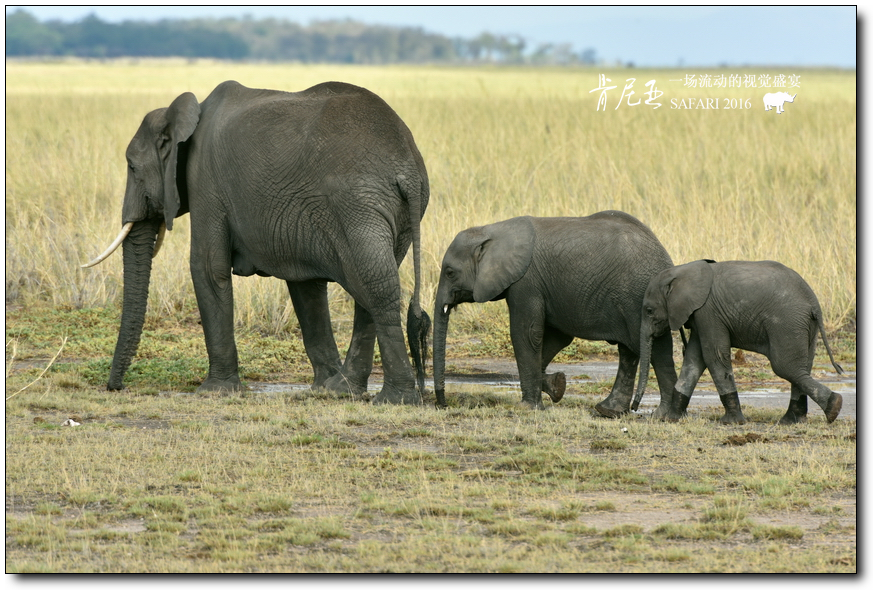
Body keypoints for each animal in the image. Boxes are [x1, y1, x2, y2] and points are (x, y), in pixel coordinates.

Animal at [83, 81, 430, 404]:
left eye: (131, 166)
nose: (115, 387)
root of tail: (408, 167)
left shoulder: (204, 181)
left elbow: (207, 269)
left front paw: (215, 392)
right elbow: (305, 287)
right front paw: (321, 388)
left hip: (356, 205)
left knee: (377, 289)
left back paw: (395, 399)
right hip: (387, 214)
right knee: (371, 288)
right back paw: (342, 389)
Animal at [432, 210, 676, 414]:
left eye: (450, 272)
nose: (444, 404)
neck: (492, 231)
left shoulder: (526, 282)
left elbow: (526, 334)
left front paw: (527, 408)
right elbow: (556, 338)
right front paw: (557, 385)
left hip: (640, 297)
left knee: (656, 351)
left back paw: (665, 415)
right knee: (629, 352)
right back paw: (609, 411)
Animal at [632, 260, 844, 426]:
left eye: (649, 311)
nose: (634, 408)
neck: (683, 271)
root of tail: (813, 303)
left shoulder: (708, 311)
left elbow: (714, 356)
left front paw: (731, 422)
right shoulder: (701, 315)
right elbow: (693, 361)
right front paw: (671, 419)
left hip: (787, 323)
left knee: (786, 367)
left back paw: (834, 406)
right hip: (804, 326)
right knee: (802, 367)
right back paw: (792, 420)